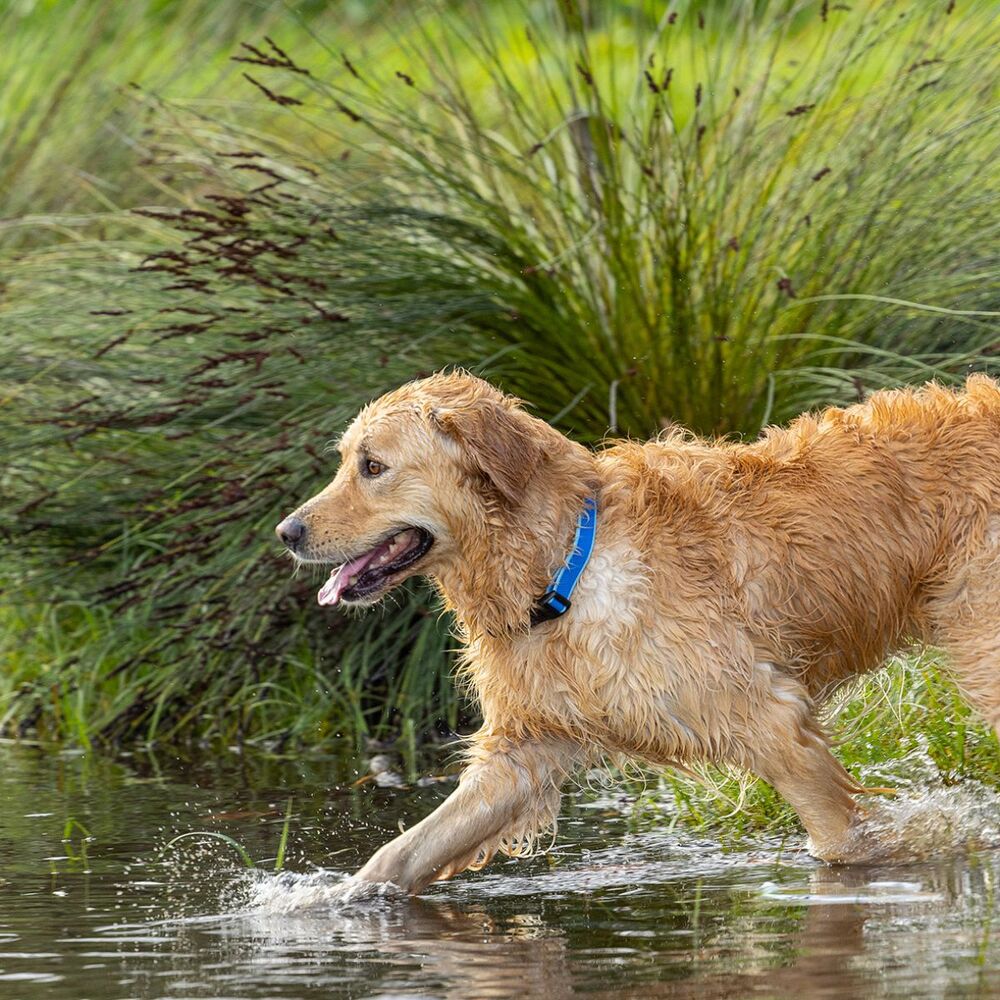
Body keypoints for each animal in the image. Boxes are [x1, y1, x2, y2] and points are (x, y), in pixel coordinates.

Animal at [276, 372, 1000, 896]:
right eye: (346, 461)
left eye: (372, 466)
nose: (287, 531)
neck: (564, 568)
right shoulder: (523, 755)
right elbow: (404, 852)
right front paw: (322, 903)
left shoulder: (772, 723)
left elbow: (843, 845)